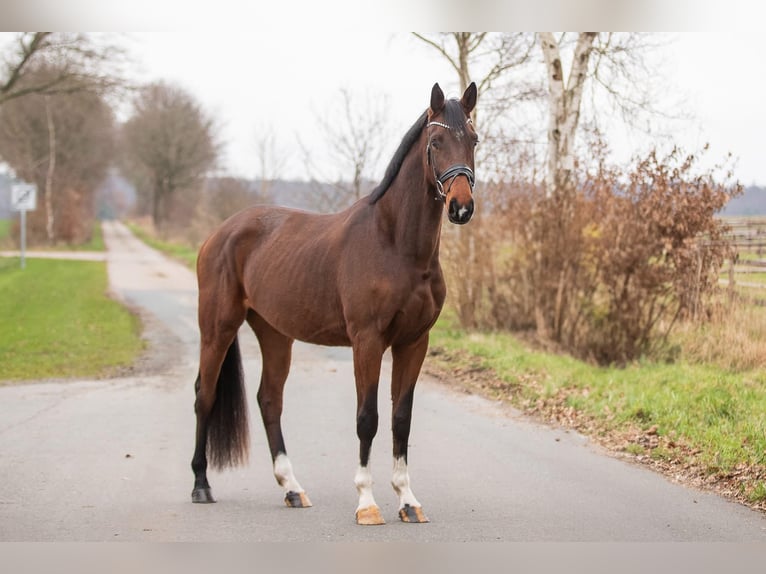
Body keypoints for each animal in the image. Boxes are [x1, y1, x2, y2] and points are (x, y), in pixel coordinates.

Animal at [192, 81, 480, 528]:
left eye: (474, 139)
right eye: (436, 142)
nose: (461, 207)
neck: (396, 245)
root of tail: (219, 233)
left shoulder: (414, 342)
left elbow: (401, 419)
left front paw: (407, 500)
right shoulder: (367, 341)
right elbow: (368, 419)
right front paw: (367, 503)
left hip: (275, 334)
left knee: (269, 400)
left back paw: (292, 489)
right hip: (217, 327)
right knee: (204, 396)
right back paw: (201, 486)